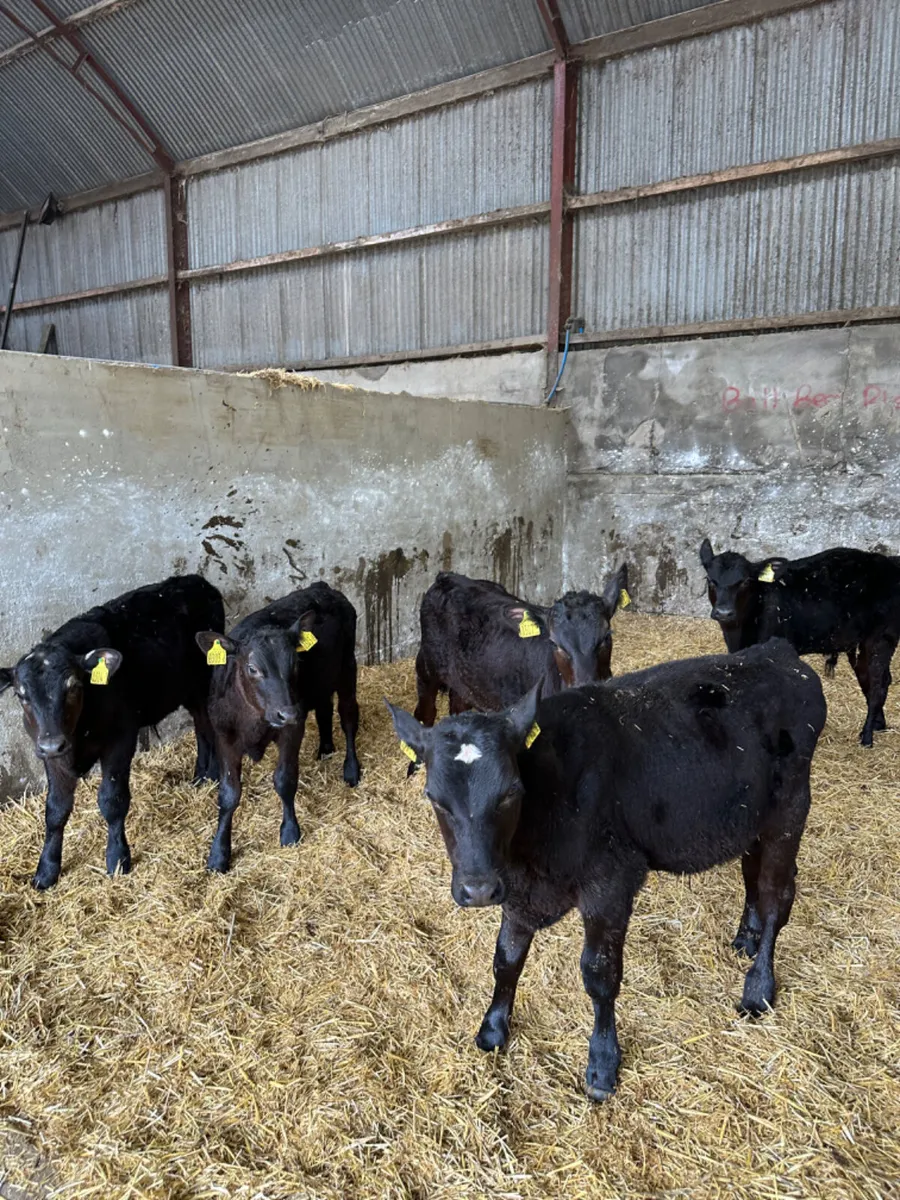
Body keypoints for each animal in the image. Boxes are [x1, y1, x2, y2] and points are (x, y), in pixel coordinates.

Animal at [0, 575, 224, 890]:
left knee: (210, 725)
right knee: (202, 727)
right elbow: (55, 810)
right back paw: (202, 777)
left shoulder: (120, 740)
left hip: (205, 681)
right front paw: (46, 870)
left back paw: (212, 774)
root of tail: (196, 580)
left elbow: (112, 800)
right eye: (22, 695)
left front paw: (117, 857)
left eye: (73, 686)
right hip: (187, 689)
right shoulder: (52, 756)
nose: (53, 743)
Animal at [195, 582, 361, 873]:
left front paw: (290, 831)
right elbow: (228, 794)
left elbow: (284, 779)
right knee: (324, 707)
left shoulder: (291, 730)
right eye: (252, 668)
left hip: (346, 667)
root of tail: (322, 587)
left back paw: (351, 769)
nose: (287, 712)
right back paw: (325, 748)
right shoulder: (224, 737)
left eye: (295, 663)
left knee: (348, 717)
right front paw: (218, 853)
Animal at [387, 638, 826, 1102]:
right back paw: (746, 937)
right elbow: (506, 959)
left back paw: (758, 988)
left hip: (790, 810)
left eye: (510, 792)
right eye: (434, 797)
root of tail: (777, 652)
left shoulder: (611, 882)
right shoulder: (519, 892)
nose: (478, 889)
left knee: (778, 896)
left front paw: (601, 1063)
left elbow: (599, 973)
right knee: (751, 874)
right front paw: (493, 1027)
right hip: (749, 817)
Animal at [700, 539, 900, 745]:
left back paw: (867, 737)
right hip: (859, 643)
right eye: (710, 580)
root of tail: (890, 563)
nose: (724, 612)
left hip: (881, 638)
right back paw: (878, 725)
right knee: (872, 679)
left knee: (877, 685)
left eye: (745, 581)